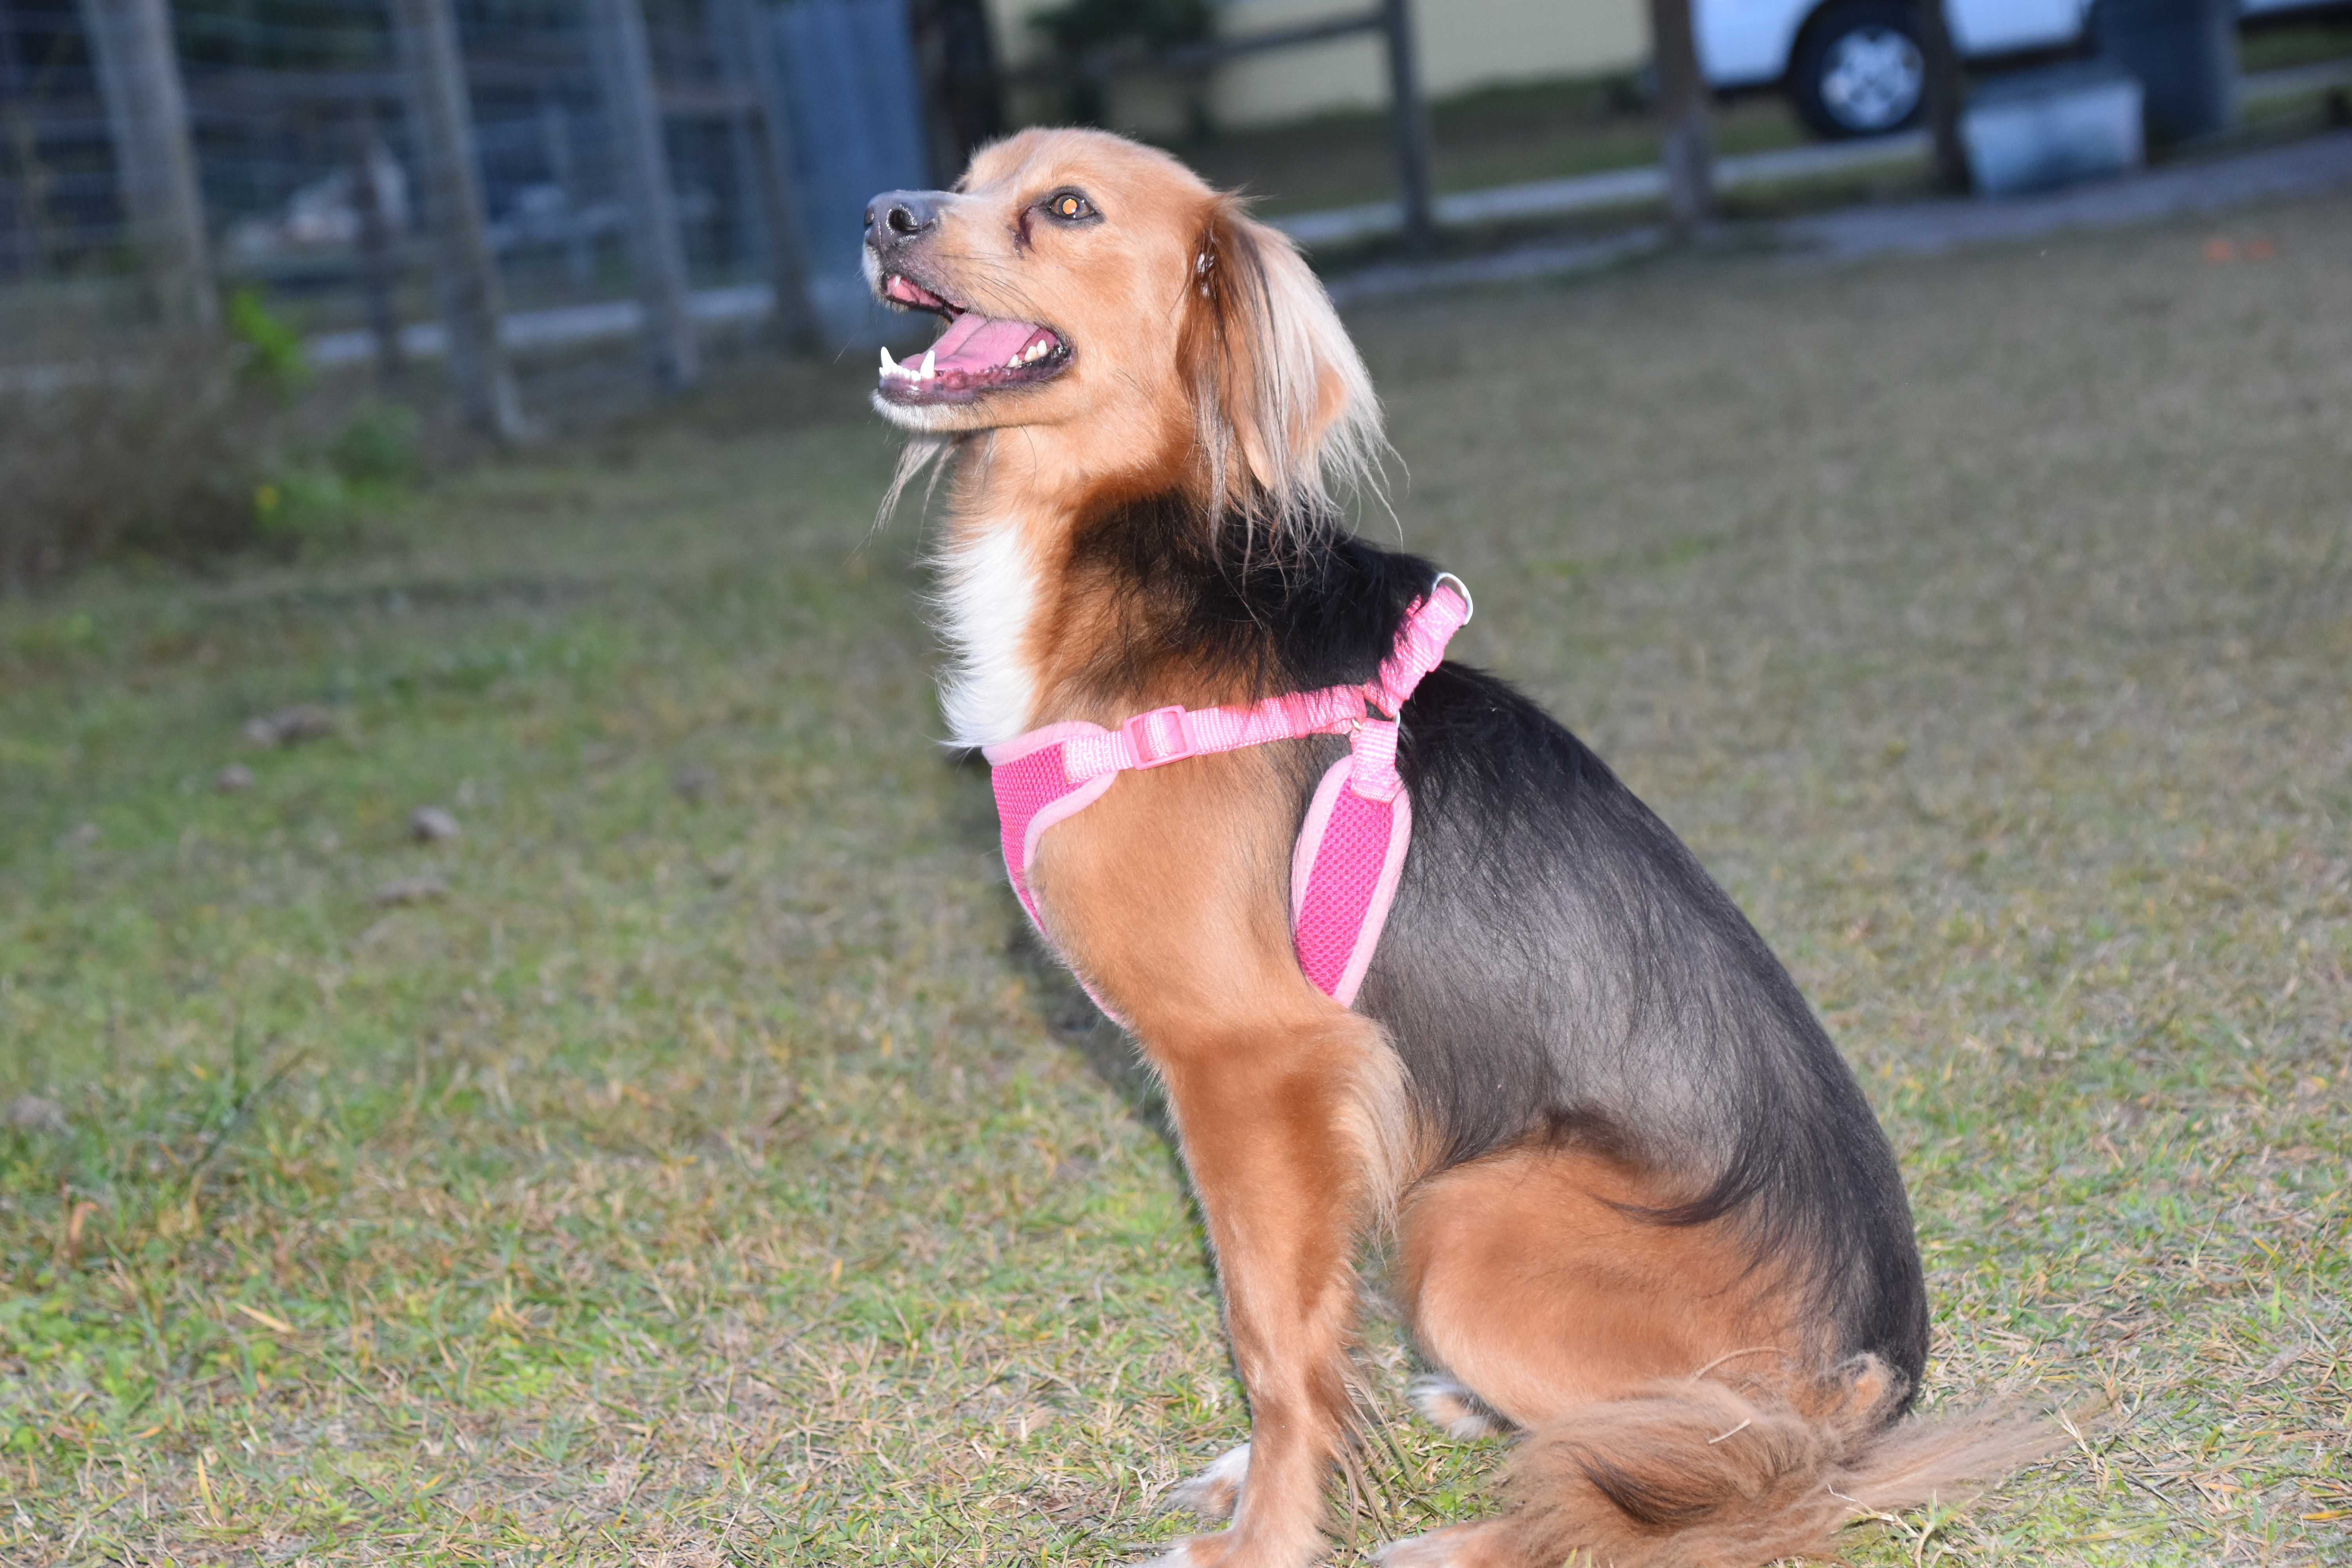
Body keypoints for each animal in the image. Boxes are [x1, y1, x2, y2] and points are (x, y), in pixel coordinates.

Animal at [856, 125, 2051, 1568]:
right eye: (969, 175)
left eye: (1067, 209)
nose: (883, 213)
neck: (1130, 541)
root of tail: (1874, 1379)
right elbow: (1307, 1330)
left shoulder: (1259, 1067)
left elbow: (1272, 1338)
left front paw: (1271, 1530)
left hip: (1467, 1222)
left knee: (1722, 1478)